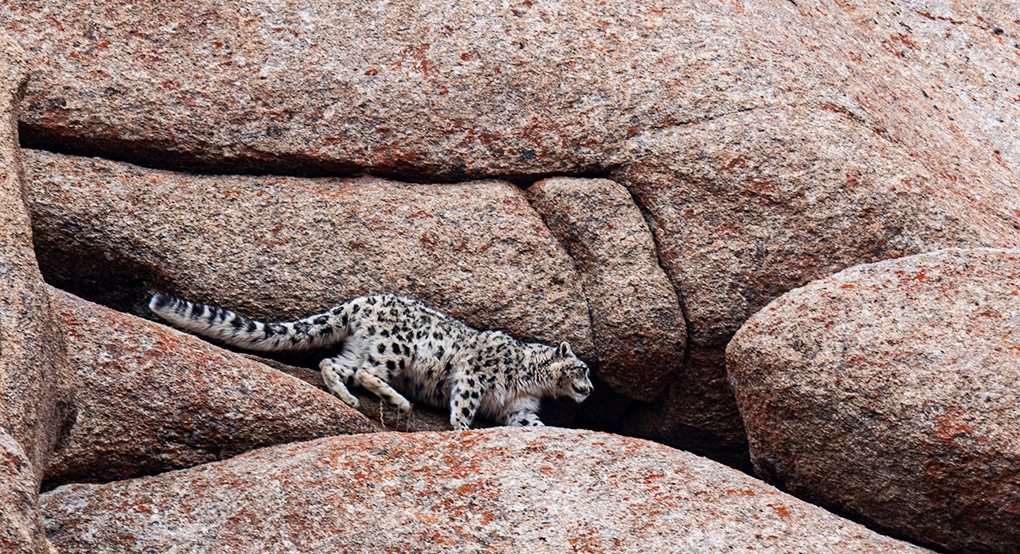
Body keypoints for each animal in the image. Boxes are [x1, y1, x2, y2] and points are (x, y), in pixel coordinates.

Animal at [149, 293, 593, 430]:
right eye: (583, 370)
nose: (589, 390)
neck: (532, 382)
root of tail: (362, 301)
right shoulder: (474, 376)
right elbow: (464, 404)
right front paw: (461, 429)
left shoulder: (520, 408)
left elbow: (529, 424)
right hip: (395, 349)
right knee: (364, 372)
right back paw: (398, 400)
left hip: (362, 347)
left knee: (332, 363)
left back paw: (347, 398)